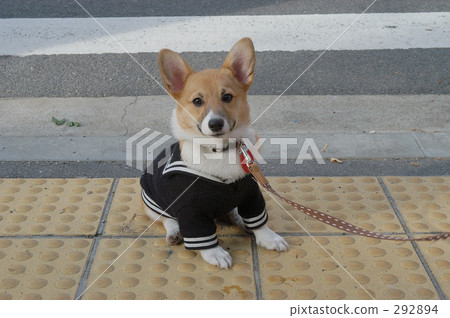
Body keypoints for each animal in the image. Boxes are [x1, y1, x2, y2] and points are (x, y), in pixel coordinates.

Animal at [140, 36, 288, 268]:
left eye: (227, 97)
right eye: (197, 101)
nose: (216, 124)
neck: (219, 150)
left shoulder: (251, 194)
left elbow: (258, 221)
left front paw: (268, 237)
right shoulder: (191, 210)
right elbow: (202, 236)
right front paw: (215, 253)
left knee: (233, 213)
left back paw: (239, 221)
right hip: (154, 202)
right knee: (167, 219)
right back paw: (174, 233)